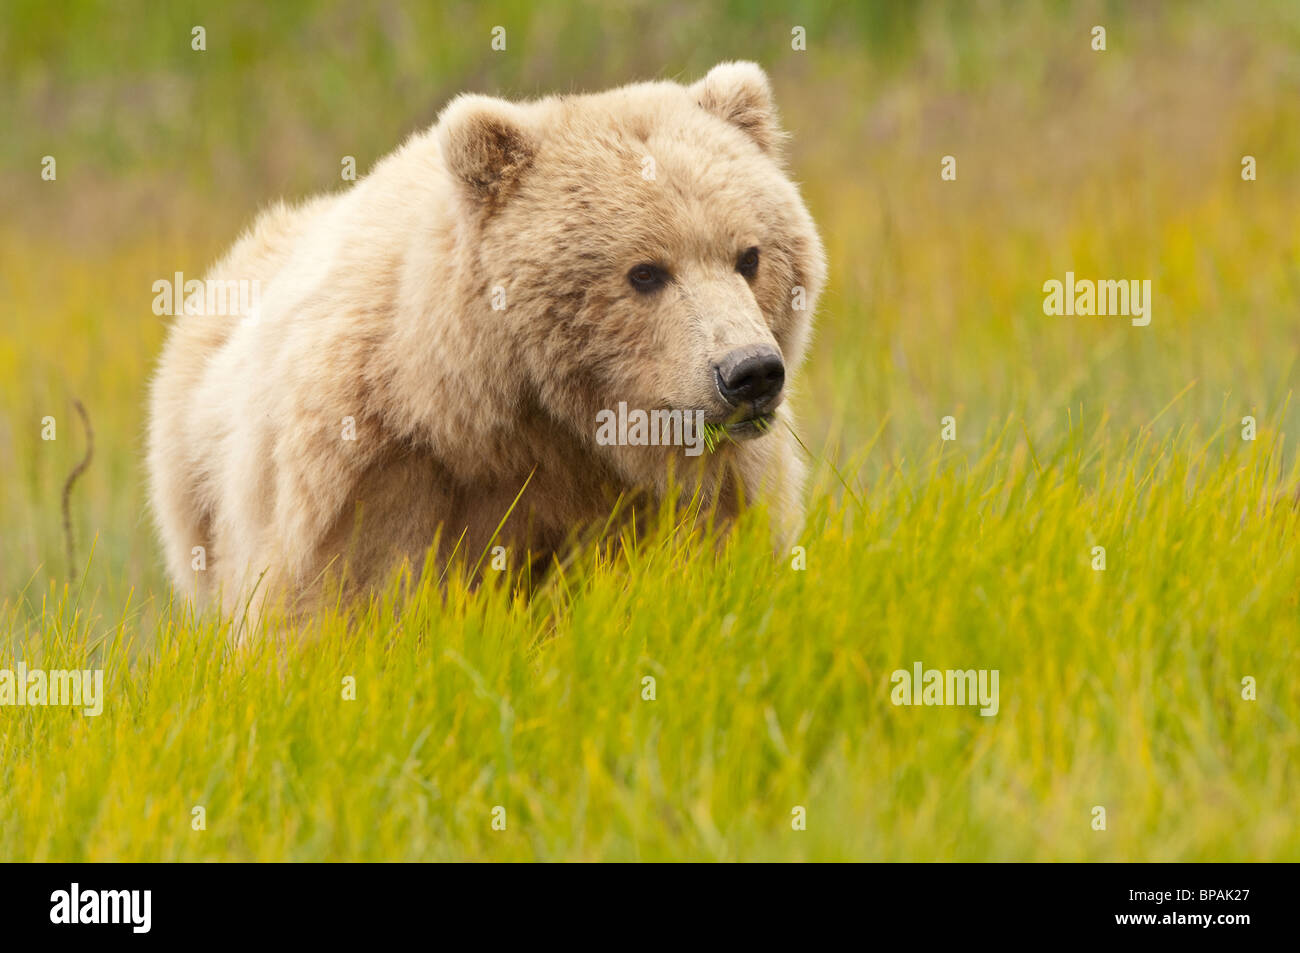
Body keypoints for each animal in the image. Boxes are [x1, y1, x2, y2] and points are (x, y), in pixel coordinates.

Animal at [144, 61, 821, 631]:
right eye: (646, 272)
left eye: (749, 256)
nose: (750, 372)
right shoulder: (376, 470)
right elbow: (345, 603)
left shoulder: (695, 493)